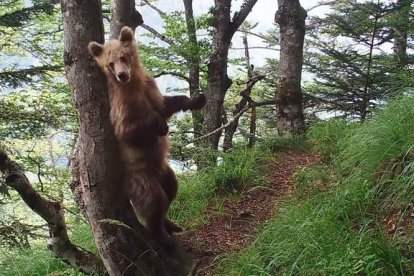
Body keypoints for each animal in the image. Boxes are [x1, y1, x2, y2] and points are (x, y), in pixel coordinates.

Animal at [87, 25, 205, 246]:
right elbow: (128, 129)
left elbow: (167, 103)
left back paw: (171, 224)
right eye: (110, 63)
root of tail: (153, 173)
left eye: (124, 56)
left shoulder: (149, 87)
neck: (134, 84)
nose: (122, 75)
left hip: (163, 170)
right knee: (154, 201)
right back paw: (161, 234)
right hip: (139, 178)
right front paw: (160, 124)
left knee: (172, 189)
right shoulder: (122, 105)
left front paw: (195, 99)